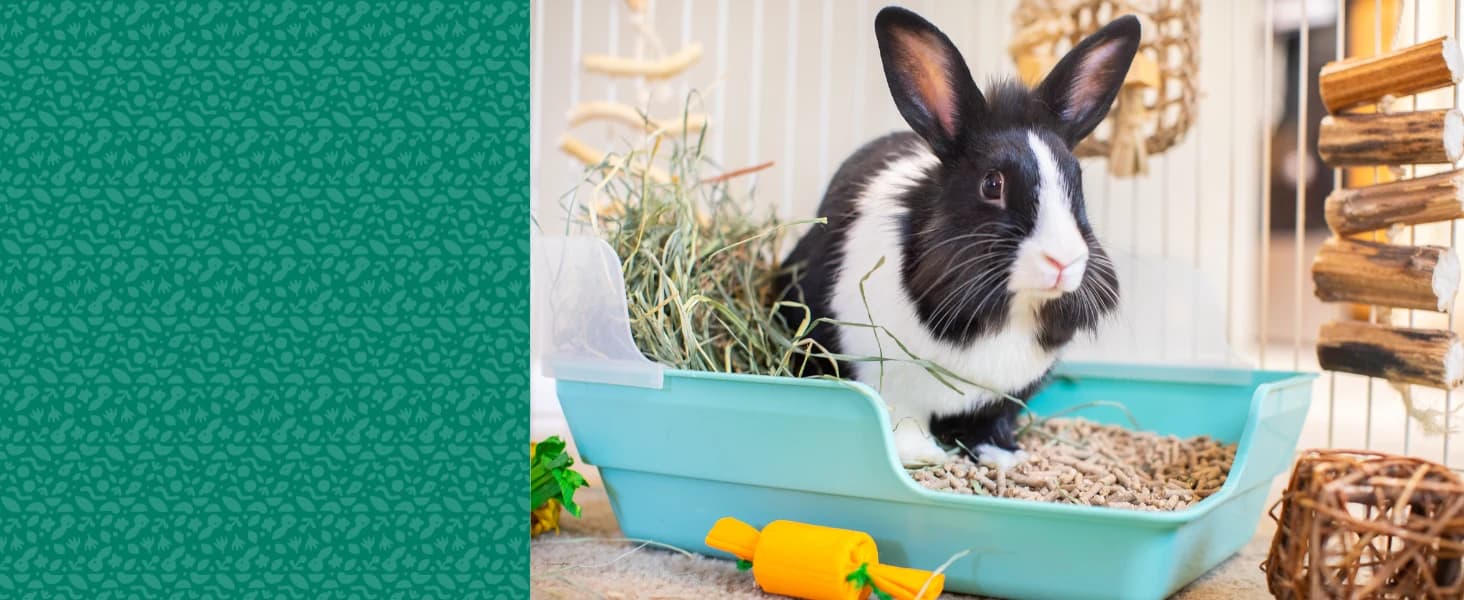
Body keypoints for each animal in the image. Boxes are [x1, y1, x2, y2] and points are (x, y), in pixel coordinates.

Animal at [774, 7, 1137, 468]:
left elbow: (990, 424)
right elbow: (903, 421)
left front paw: (1005, 457)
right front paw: (921, 456)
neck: (1010, 312)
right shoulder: (888, 379)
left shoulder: (1004, 398)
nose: (1063, 261)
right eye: (992, 184)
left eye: (1077, 180)